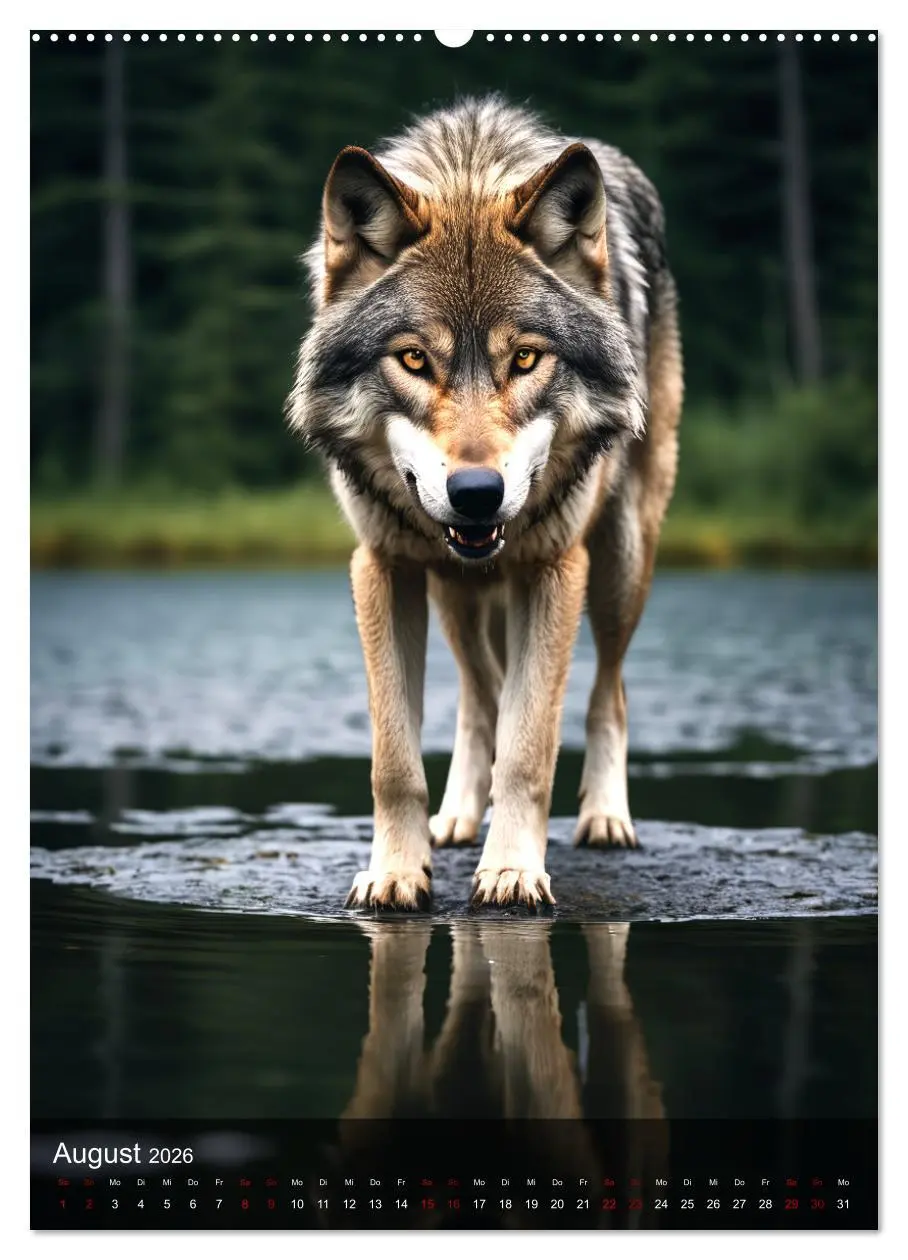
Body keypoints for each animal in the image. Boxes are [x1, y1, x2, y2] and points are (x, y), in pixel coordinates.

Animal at [287, 96, 683, 910]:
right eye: (413, 359)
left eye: (525, 357)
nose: (476, 494)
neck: (469, 172)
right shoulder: (384, 568)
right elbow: (396, 759)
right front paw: (396, 872)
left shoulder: (554, 569)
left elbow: (529, 752)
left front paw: (511, 871)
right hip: (457, 596)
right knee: (480, 697)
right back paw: (459, 817)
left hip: (620, 562)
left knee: (609, 692)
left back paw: (606, 817)